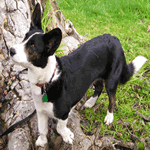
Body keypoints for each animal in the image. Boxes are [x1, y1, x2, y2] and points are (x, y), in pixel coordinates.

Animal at [9, 2, 148, 147]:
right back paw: (90, 103)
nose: (10, 50)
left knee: (112, 98)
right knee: (99, 87)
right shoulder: (41, 112)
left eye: (32, 46)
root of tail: (115, 38)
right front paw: (42, 141)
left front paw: (67, 136)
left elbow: (60, 127)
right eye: (24, 38)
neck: (47, 79)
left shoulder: (63, 112)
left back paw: (109, 116)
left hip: (111, 80)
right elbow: (42, 129)